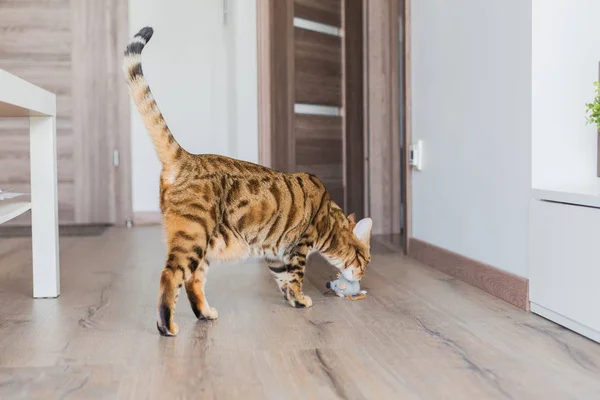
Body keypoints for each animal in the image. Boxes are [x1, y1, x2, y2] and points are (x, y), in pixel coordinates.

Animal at [124, 26, 372, 336]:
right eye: (367, 260)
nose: (364, 275)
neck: (328, 216)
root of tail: (185, 157)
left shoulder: (277, 254)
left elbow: (283, 279)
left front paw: (293, 300)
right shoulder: (300, 245)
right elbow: (296, 277)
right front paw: (301, 299)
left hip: (203, 243)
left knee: (194, 280)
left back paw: (205, 313)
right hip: (193, 235)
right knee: (171, 275)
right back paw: (167, 326)